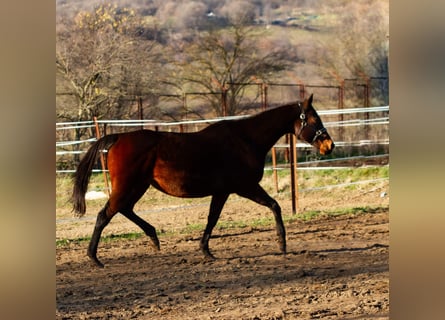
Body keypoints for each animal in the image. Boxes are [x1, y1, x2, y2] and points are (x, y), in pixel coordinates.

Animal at [71, 93, 332, 268]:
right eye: (314, 120)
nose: (329, 146)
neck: (245, 140)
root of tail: (118, 137)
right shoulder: (244, 187)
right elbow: (274, 205)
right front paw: (281, 243)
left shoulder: (223, 192)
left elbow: (212, 219)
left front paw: (205, 251)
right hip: (129, 186)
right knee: (104, 215)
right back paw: (94, 258)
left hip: (138, 186)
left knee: (124, 210)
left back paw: (154, 238)